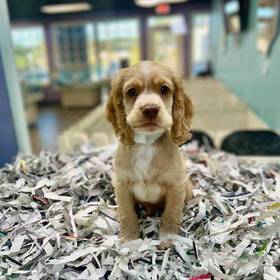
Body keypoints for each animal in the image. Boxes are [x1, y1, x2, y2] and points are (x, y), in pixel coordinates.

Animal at [106, 60, 194, 247]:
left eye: (164, 89)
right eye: (132, 91)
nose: (150, 109)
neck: (147, 144)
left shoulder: (176, 186)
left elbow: (171, 214)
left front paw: (168, 238)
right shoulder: (121, 185)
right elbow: (127, 213)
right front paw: (129, 239)